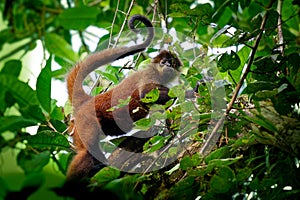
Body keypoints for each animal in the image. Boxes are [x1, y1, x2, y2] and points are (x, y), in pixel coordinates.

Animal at [66, 14, 183, 182]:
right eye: (163, 61)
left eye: (172, 63)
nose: (167, 64)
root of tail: (88, 100)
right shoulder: (148, 74)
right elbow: (145, 94)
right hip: (84, 122)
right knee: (87, 152)